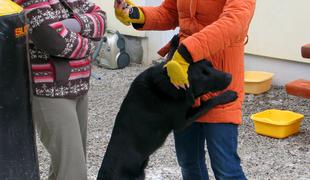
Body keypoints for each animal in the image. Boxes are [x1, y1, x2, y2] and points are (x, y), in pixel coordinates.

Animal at [97, 60, 237, 180]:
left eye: (211, 66)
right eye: (203, 75)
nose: (229, 76)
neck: (168, 82)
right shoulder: (182, 122)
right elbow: (208, 103)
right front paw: (228, 95)